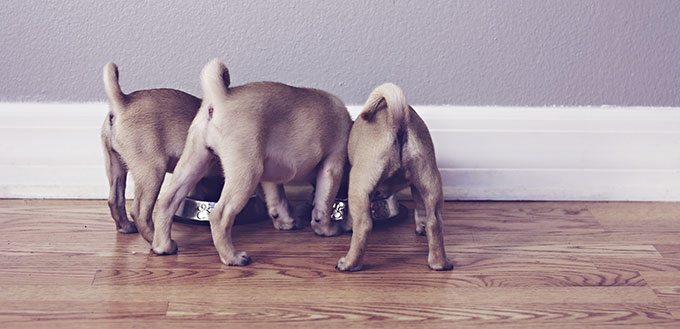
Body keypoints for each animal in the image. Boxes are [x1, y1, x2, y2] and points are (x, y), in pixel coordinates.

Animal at [101, 62, 223, 241]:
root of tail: (122, 102)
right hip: (153, 172)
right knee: (140, 212)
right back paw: (157, 239)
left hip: (115, 166)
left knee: (115, 200)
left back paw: (126, 227)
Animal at [152, 58, 354, 264]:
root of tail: (220, 98)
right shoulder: (332, 166)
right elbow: (324, 202)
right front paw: (326, 229)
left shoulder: (272, 175)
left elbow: (277, 200)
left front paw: (285, 222)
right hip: (246, 172)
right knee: (220, 215)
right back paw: (232, 257)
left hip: (194, 161)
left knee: (167, 202)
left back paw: (163, 246)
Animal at [334, 82, 452, 272]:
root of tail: (398, 121)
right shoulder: (417, 186)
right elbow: (420, 209)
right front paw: (421, 226)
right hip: (430, 181)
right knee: (435, 222)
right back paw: (439, 263)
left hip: (359, 188)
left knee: (364, 225)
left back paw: (350, 263)